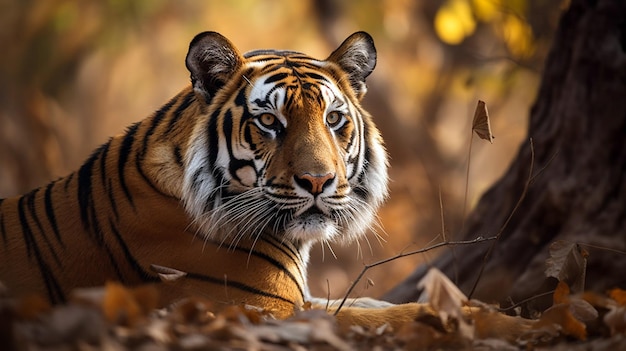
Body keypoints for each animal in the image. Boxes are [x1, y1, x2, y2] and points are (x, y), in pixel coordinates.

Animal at [0, 31, 528, 336]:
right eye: (270, 121)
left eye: (334, 119)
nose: (318, 181)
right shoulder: (259, 310)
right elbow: (392, 315)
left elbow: (372, 300)